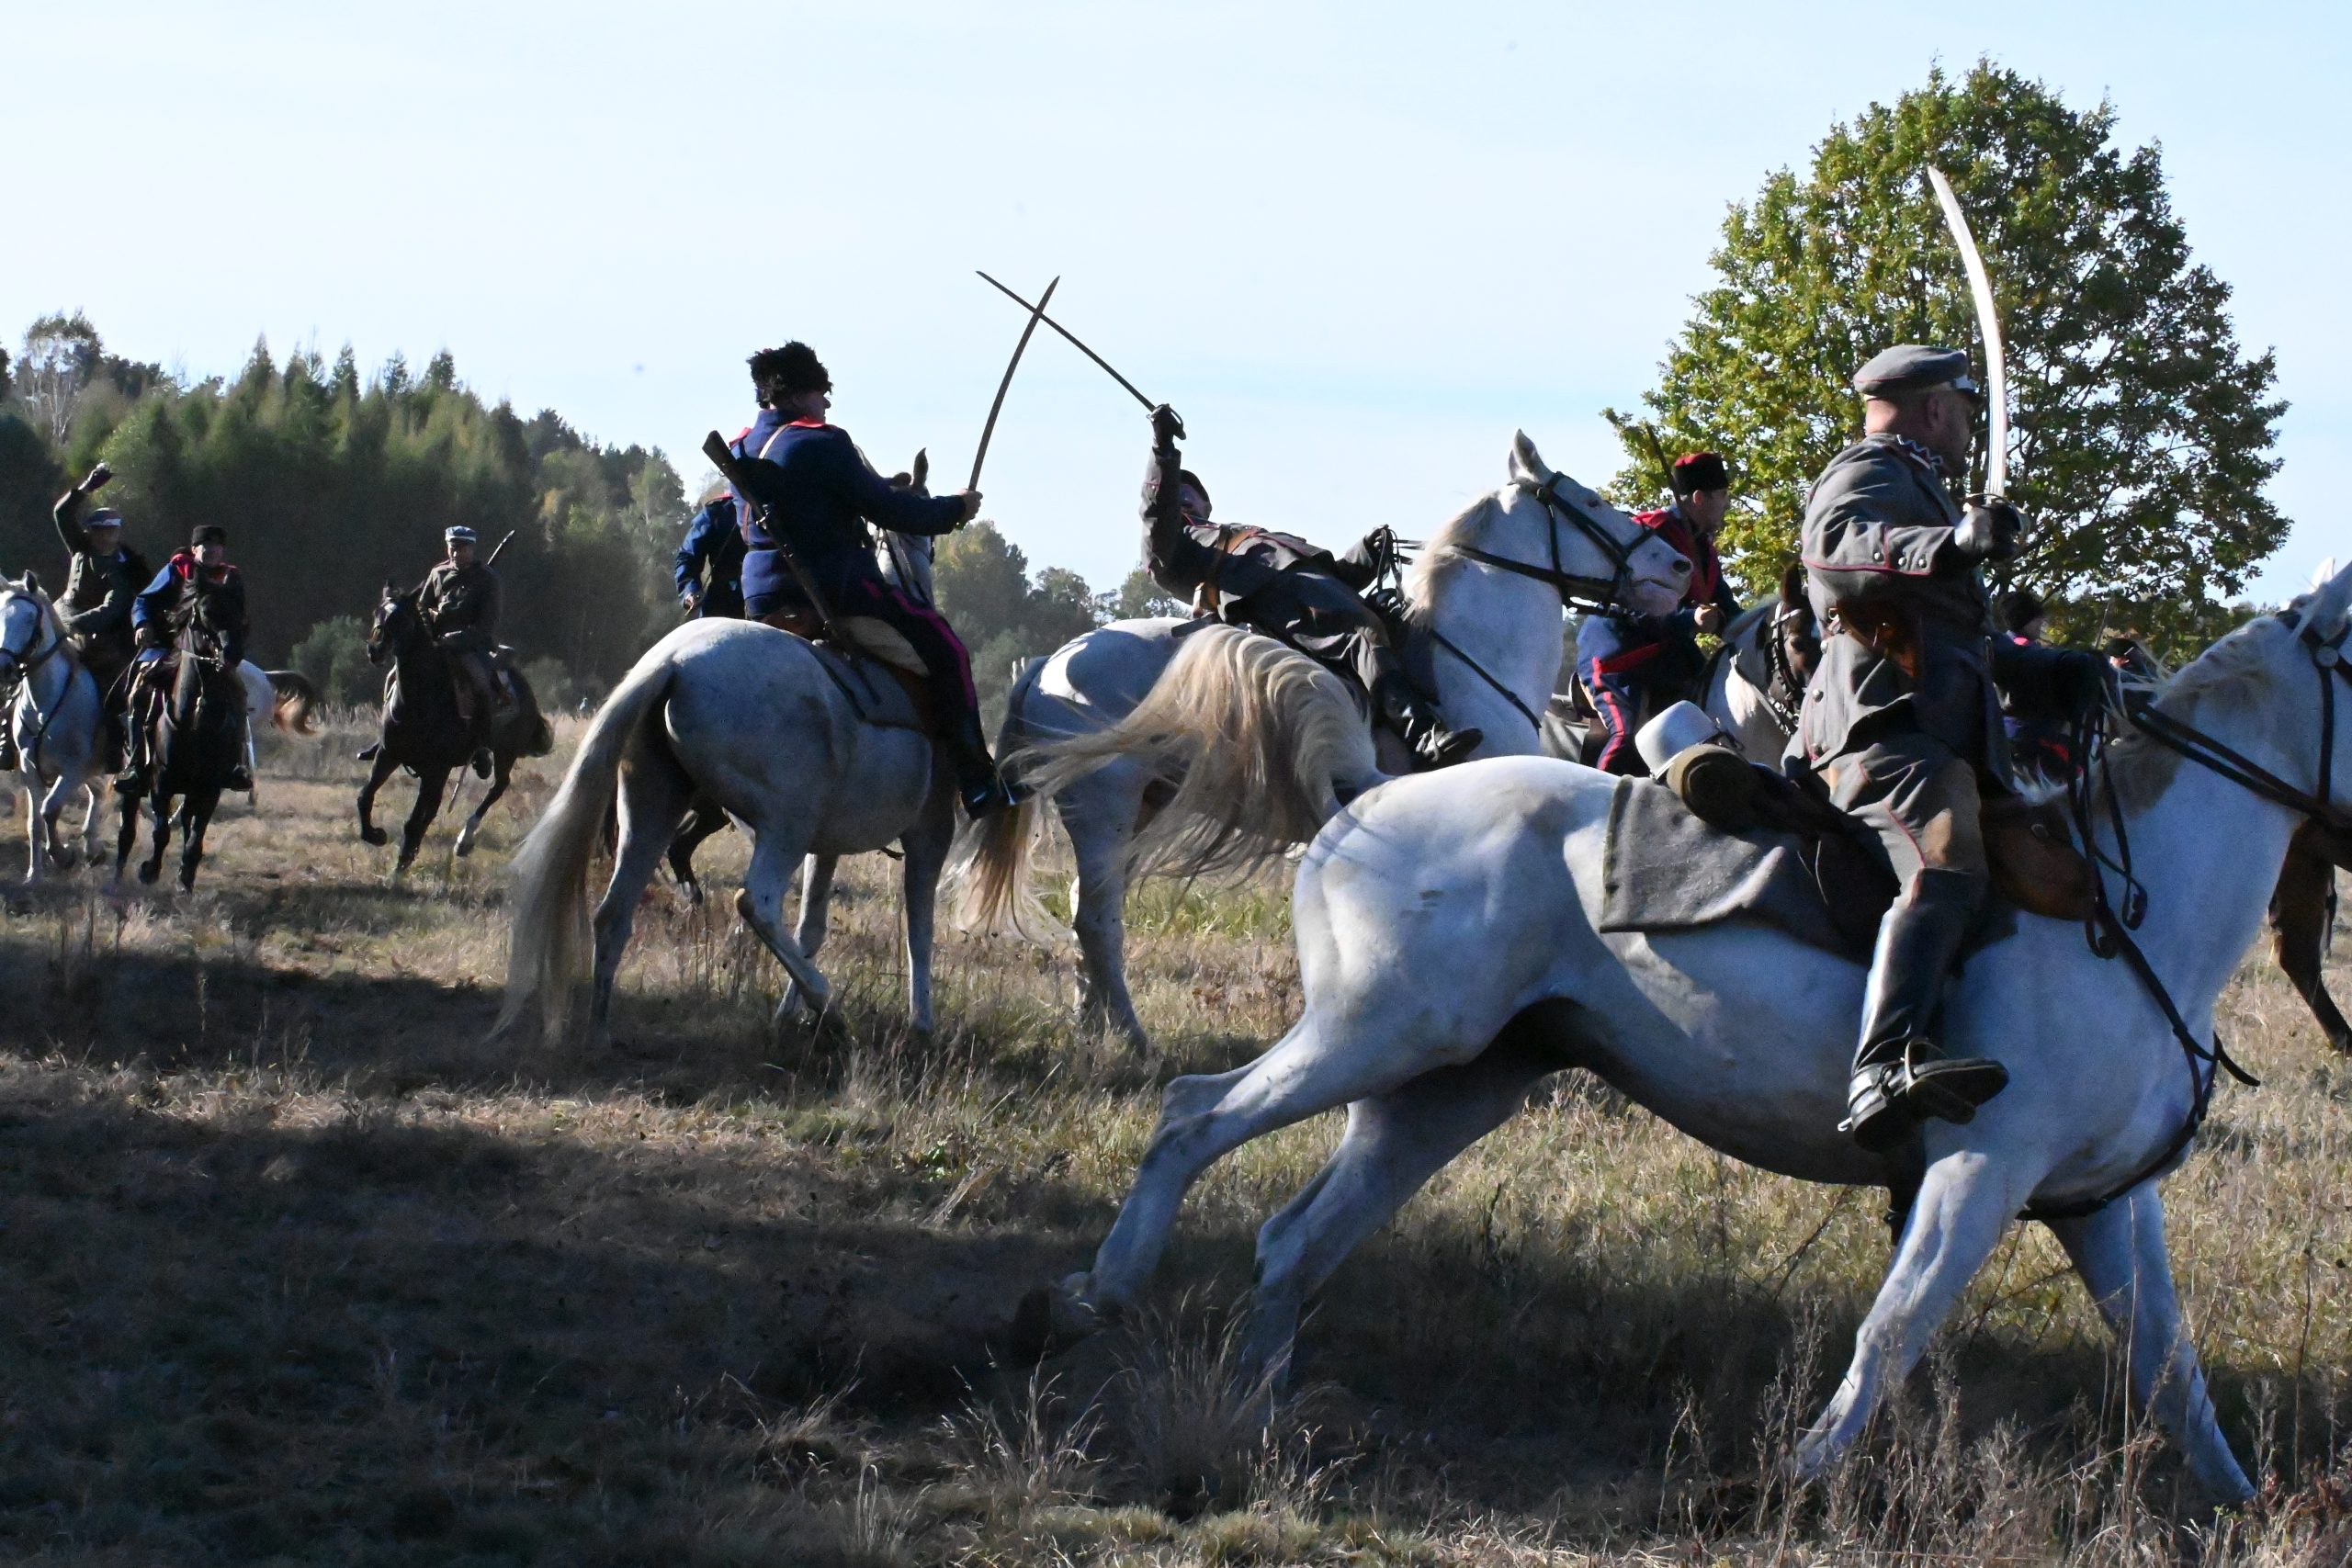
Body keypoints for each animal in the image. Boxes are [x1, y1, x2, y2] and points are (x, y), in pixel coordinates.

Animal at [945, 430, 1702, 1048]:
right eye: (1592, 499)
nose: (1679, 568)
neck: (1465, 660)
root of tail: (1052, 663)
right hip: (1103, 808)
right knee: (1098, 920)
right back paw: (1131, 1037)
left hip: (1137, 808)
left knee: (1087, 912)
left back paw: (1094, 1027)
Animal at [1021, 561, 2352, 1495]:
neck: (2128, 904)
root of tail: (1373, 791)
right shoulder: (1980, 1169)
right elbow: (1896, 1325)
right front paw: (1795, 1483)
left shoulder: (2101, 1200)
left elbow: (2172, 1372)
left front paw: (2242, 1505)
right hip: (1373, 1036)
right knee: (1193, 1118)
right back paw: (1104, 1290)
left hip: (1450, 1086)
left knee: (1296, 1238)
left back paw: (1259, 1400)